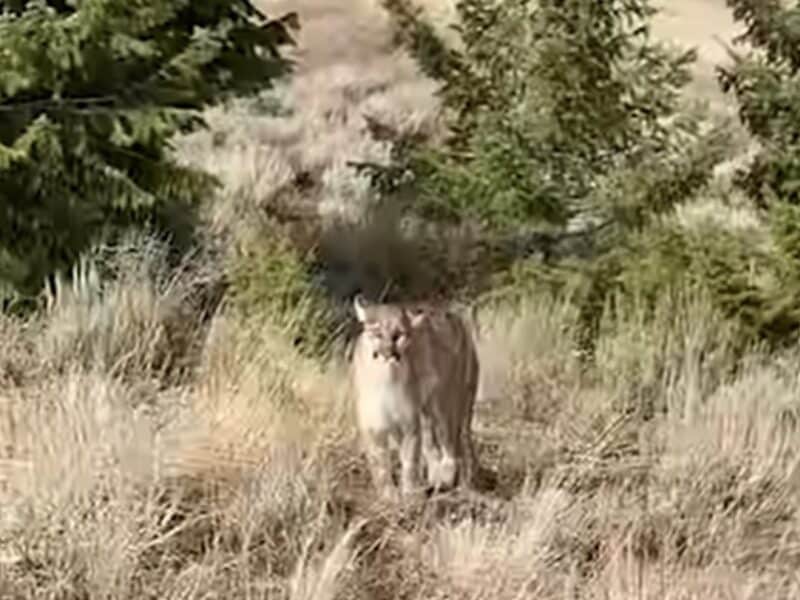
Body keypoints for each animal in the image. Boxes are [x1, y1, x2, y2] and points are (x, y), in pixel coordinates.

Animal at [350, 294, 479, 501]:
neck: (385, 379)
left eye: (399, 335)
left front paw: (410, 493)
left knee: (452, 446)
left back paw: (447, 479)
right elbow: (380, 464)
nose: (388, 353)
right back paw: (437, 478)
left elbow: (410, 460)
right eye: (377, 333)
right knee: (434, 445)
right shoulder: (374, 425)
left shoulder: (409, 424)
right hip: (428, 412)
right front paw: (389, 495)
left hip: (445, 404)